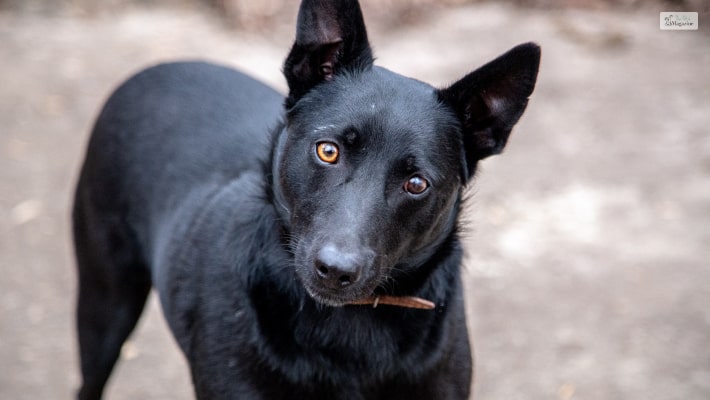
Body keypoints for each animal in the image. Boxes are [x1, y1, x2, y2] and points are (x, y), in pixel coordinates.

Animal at [72, 1, 540, 398]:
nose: (335, 270)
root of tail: (157, 68)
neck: (347, 328)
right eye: (328, 151)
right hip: (105, 302)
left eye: (416, 184)